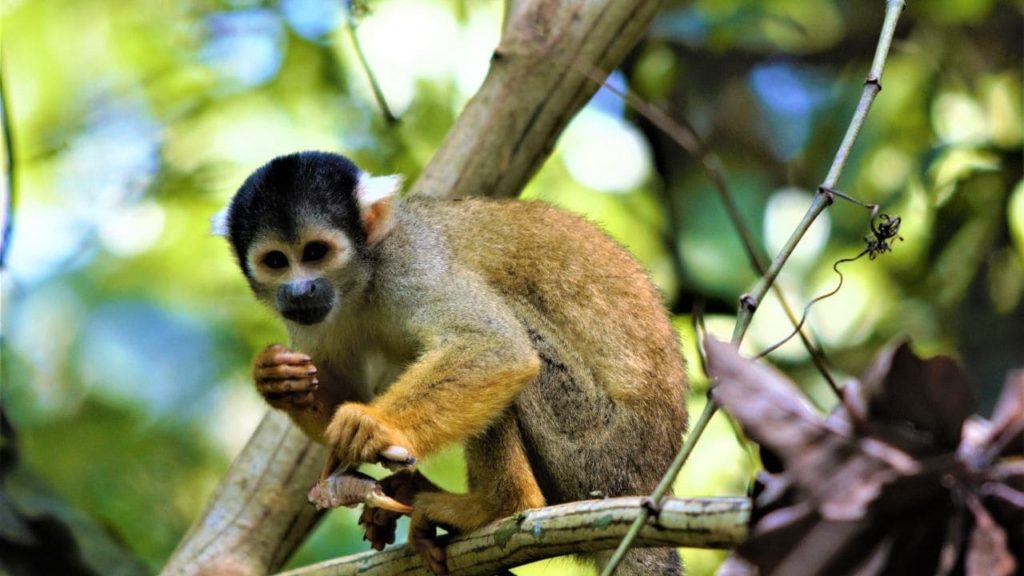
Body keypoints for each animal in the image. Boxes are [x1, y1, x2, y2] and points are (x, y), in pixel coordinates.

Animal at [212, 150, 688, 569]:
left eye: (315, 252)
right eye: (276, 261)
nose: (300, 290)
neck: (364, 277)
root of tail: (649, 482)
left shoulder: (413, 262)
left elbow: (496, 346)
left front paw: (373, 425)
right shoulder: (312, 320)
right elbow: (343, 393)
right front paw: (278, 382)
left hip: (596, 450)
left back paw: (499, 504)